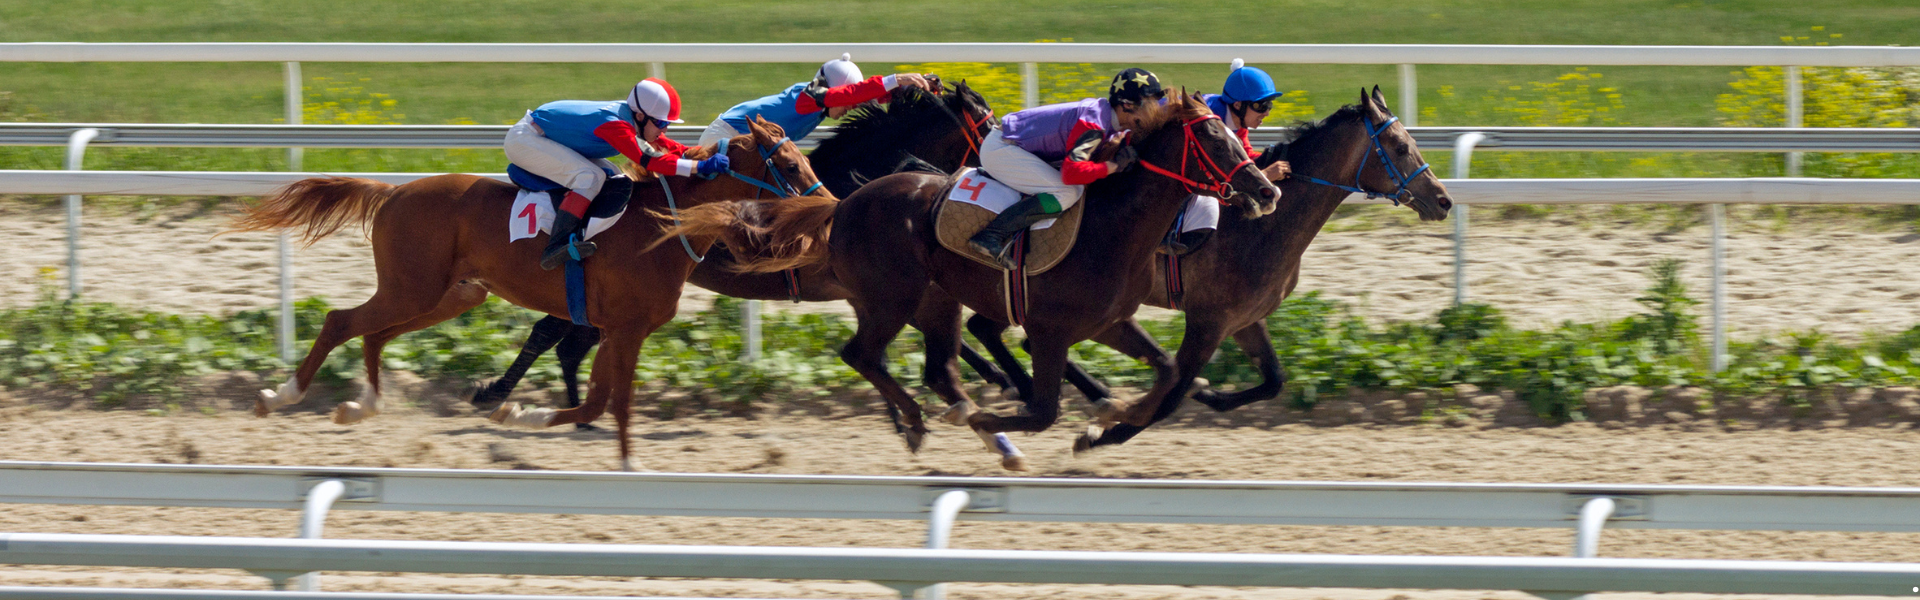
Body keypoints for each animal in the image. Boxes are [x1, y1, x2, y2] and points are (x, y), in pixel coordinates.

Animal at [230, 117, 829, 472]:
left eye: (807, 160)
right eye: (790, 165)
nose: (829, 206)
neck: (661, 225)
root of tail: (394, 191)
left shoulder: (613, 328)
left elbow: (596, 398)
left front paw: (521, 414)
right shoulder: (627, 329)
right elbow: (614, 400)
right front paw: (612, 455)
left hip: (450, 296)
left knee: (373, 333)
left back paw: (364, 404)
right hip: (412, 288)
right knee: (339, 321)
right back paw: (280, 396)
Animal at [464, 80, 1017, 419]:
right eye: (990, 125)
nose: (992, 169)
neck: (852, 188)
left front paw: (994, 376)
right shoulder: (862, 285)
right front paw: (1002, 376)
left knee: (570, 342)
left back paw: (575, 411)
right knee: (553, 335)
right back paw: (506, 393)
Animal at [667, 91, 1281, 470]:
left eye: (1233, 135)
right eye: (1214, 141)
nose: (1267, 189)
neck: (1114, 226)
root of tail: (844, 203)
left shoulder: (1110, 322)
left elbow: (1169, 370)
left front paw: (1109, 421)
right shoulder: (1052, 330)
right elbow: (1045, 409)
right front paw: (1042, 416)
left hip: (933, 301)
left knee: (931, 366)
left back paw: (962, 423)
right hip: (890, 298)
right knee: (863, 355)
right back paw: (931, 420)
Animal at [970, 88, 1455, 449]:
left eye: (1412, 142)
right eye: (1399, 147)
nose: (1444, 200)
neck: (1259, 225)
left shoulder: (1245, 318)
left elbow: (1273, 380)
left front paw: (1206, 393)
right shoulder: (1208, 319)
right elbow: (1171, 394)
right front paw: (1103, 434)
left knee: (994, 329)